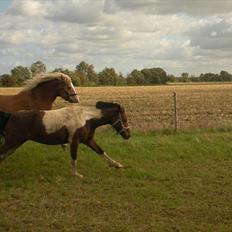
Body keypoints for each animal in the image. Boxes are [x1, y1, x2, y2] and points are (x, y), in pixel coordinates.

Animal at [0, 101, 130, 178]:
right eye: (124, 119)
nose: (128, 135)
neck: (86, 118)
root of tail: (11, 115)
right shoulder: (74, 141)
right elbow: (74, 158)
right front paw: (77, 174)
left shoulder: (88, 140)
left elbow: (101, 152)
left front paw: (118, 165)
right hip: (12, 141)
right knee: (2, 154)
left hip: (16, 143)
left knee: (3, 155)